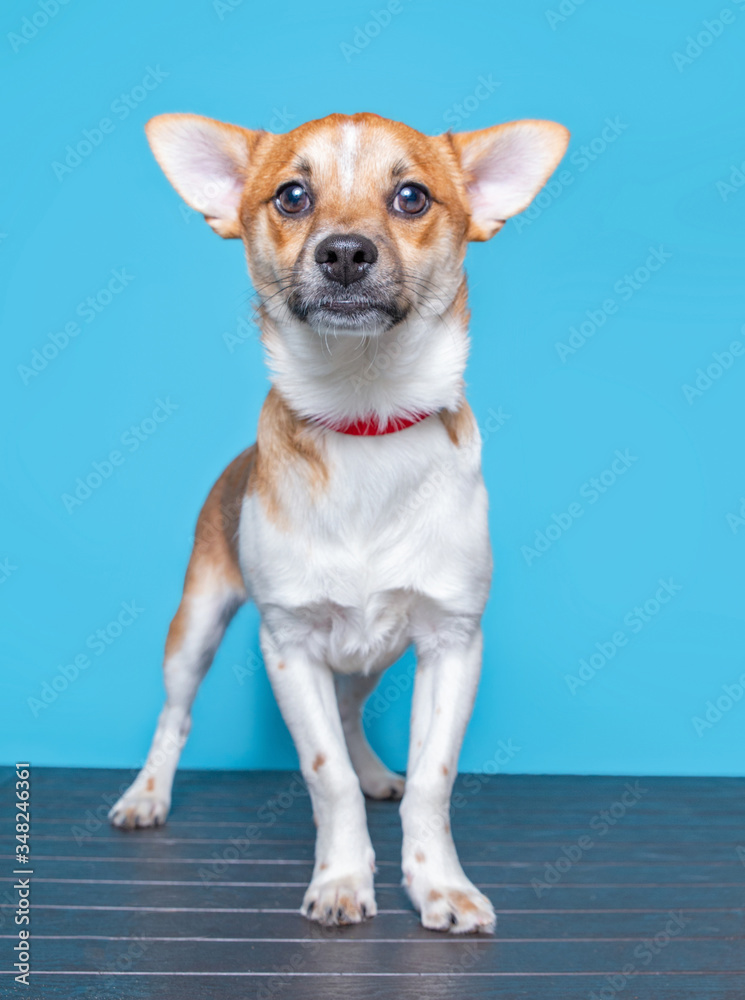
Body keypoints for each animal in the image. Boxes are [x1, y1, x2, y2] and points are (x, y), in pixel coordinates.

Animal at [107, 109, 568, 928]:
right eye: (291, 196)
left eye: (413, 198)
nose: (345, 251)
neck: (364, 420)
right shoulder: (290, 647)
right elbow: (327, 778)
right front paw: (344, 880)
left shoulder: (451, 643)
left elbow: (433, 780)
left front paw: (438, 884)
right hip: (196, 628)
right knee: (175, 716)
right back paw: (147, 795)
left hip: (372, 657)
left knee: (353, 713)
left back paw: (377, 770)